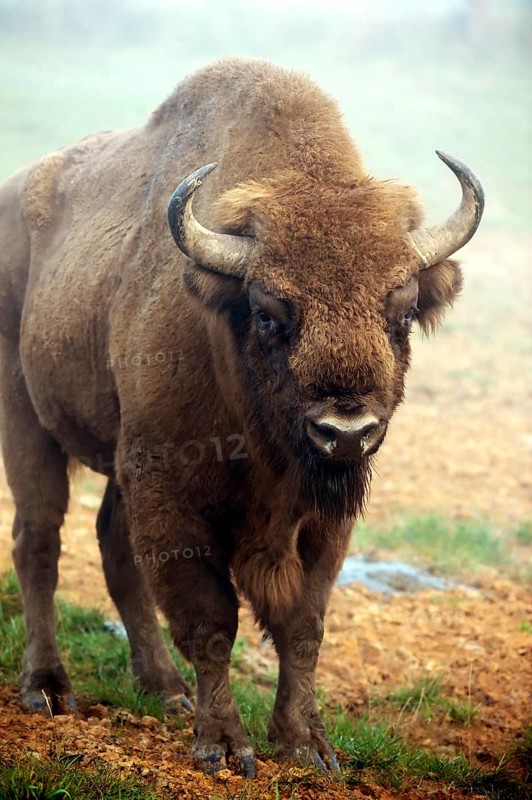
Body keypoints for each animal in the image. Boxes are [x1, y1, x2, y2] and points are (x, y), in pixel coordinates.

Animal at [0, 58, 483, 776]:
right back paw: (49, 688)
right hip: (26, 418)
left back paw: (163, 688)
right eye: (267, 312)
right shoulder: (170, 490)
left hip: (117, 455)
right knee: (39, 541)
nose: (345, 433)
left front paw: (307, 744)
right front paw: (225, 746)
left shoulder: (322, 519)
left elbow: (303, 623)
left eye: (401, 312)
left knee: (111, 545)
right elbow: (211, 619)